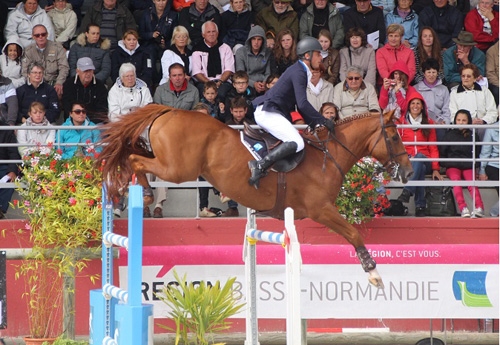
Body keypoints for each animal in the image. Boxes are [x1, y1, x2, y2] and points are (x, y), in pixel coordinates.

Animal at [95, 105, 412, 288]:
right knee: (134, 160)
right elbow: (353, 233)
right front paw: (373, 273)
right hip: (176, 168)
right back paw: (140, 194)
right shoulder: (321, 209)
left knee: (132, 155)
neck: (329, 154)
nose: (408, 171)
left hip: (169, 162)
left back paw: (126, 192)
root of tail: (168, 111)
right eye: (395, 137)